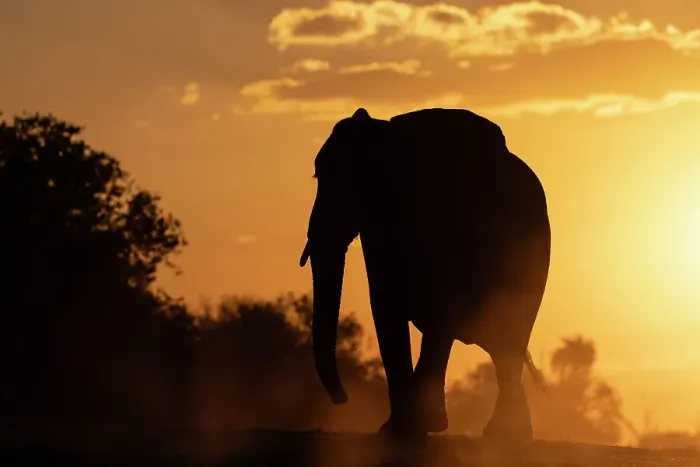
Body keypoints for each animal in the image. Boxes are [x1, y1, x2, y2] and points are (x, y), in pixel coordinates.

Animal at [299, 107, 551, 442]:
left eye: (324, 176)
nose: (343, 399)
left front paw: (405, 429)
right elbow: (385, 302)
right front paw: (407, 428)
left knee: (506, 334)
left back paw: (505, 433)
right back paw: (505, 432)